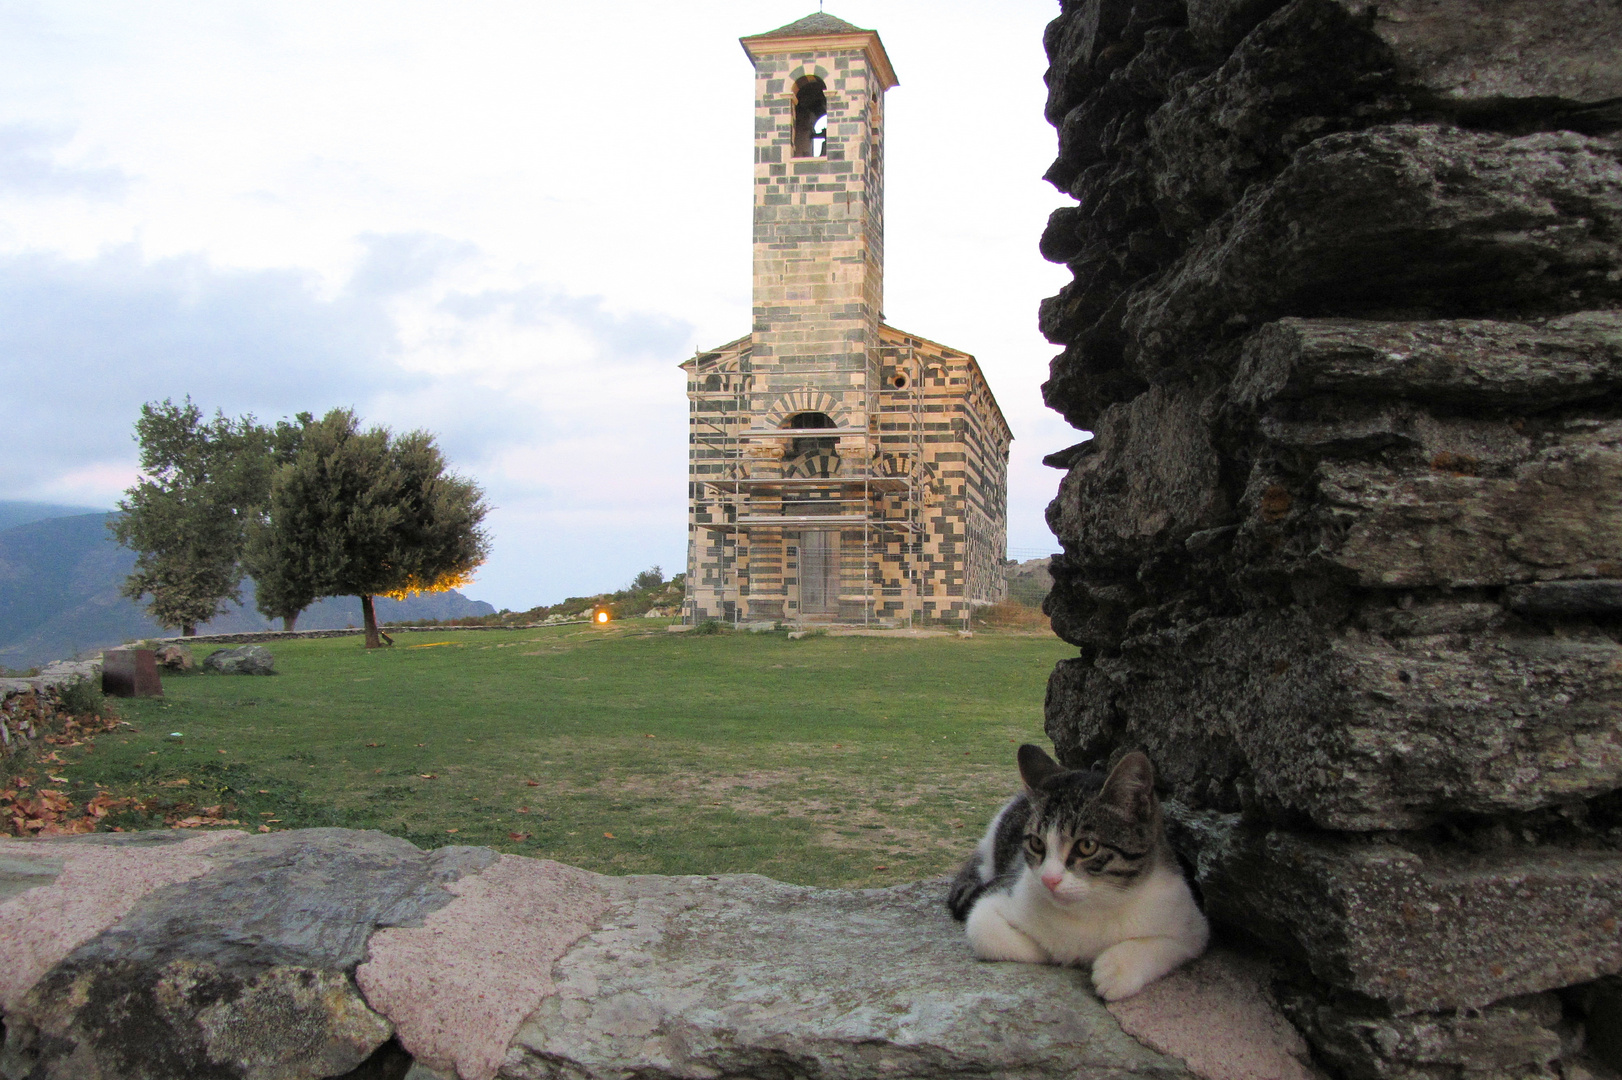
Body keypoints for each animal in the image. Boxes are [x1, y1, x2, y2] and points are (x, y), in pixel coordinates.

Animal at [947, 745, 1206, 998]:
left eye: (1087, 846)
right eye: (1037, 843)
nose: (1049, 879)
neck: (1088, 910)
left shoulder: (1190, 921)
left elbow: (1168, 945)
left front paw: (1115, 969)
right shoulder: (998, 896)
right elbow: (984, 932)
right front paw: (1051, 952)